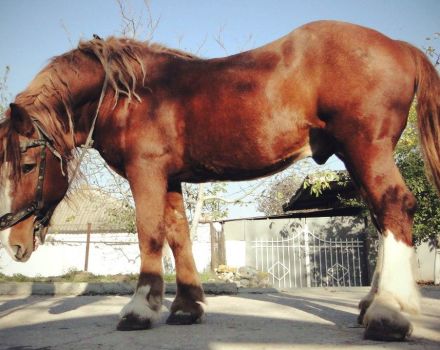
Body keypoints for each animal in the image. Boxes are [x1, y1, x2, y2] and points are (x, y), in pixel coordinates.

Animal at [0, 20, 440, 340]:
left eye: (27, 166)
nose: (15, 244)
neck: (126, 95)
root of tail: (400, 45)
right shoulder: (169, 179)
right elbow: (178, 234)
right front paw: (185, 307)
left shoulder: (146, 173)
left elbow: (149, 233)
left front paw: (140, 309)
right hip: (355, 156)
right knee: (381, 215)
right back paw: (372, 305)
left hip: (367, 149)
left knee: (394, 205)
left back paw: (389, 313)